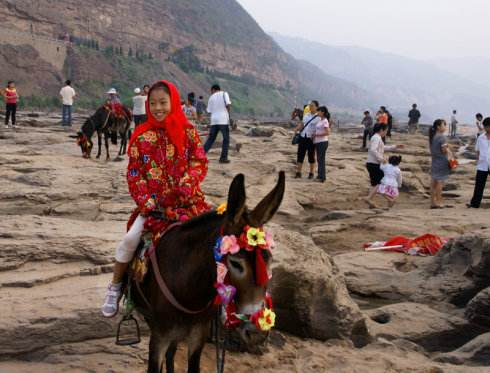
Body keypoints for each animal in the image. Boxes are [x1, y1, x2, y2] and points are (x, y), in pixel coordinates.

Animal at [132, 171, 286, 372]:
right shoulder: (159, 336)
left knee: (172, 353)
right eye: (235, 263)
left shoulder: (198, 335)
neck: (188, 288)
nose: (257, 332)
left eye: (268, 259)